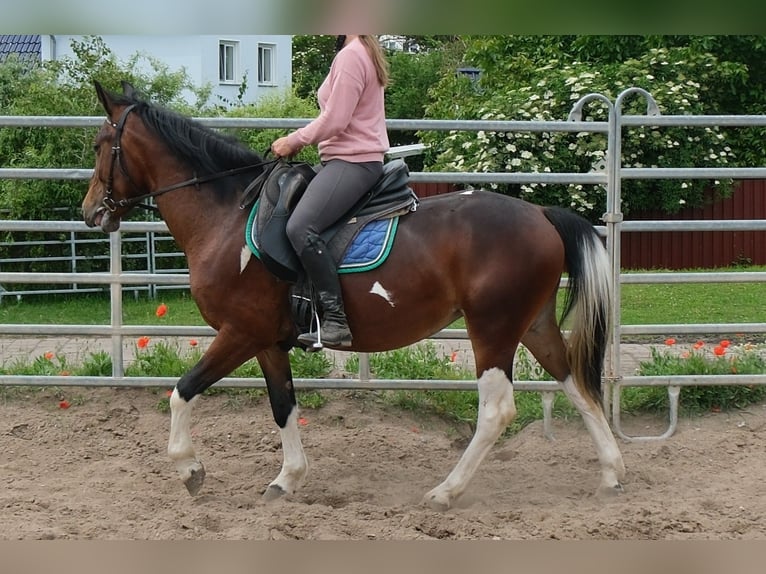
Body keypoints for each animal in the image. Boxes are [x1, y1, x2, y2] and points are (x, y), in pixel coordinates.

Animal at [82, 80, 625, 511]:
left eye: (100, 143)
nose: (90, 213)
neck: (229, 217)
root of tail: (540, 214)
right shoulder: (268, 343)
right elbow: (283, 406)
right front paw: (287, 480)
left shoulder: (240, 333)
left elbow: (182, 391)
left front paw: (189, 470)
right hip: (531, 324)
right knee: (577, 383)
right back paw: (612, 474)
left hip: (492, 329)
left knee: (496, 411)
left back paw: (445, 492)